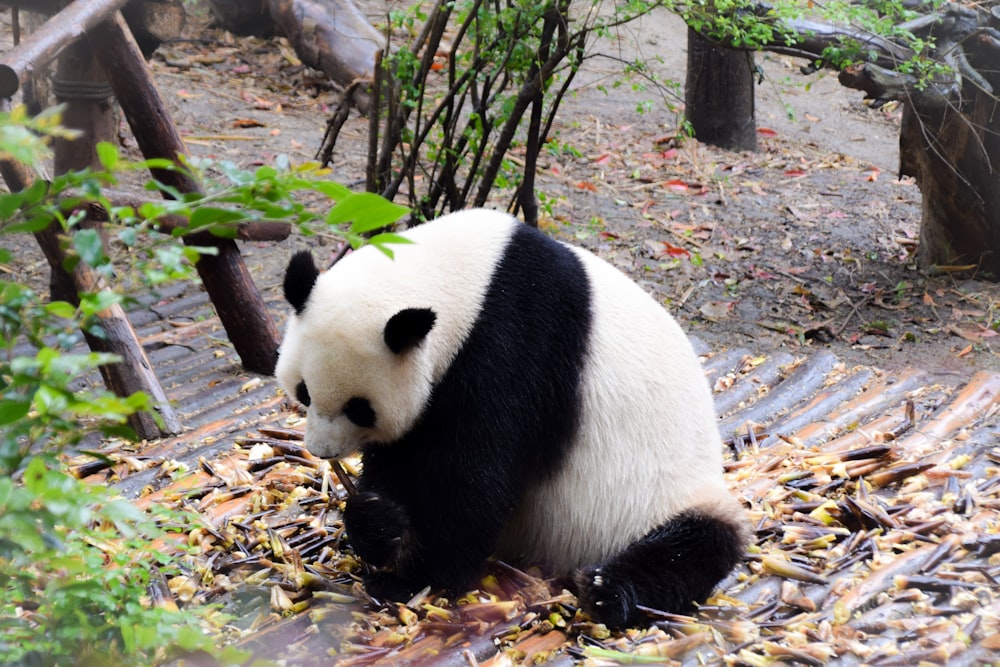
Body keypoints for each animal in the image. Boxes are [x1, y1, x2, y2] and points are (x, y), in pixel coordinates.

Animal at [278, 210, 748, 632]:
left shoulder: (515, 345)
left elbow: (475, 475)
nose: (321, 449)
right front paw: (378, 523)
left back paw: (608, 591)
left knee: (691, 546)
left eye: (359, 407)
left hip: (664, 495)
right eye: (304, 392)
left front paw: (415, 575)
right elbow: (406, 461)